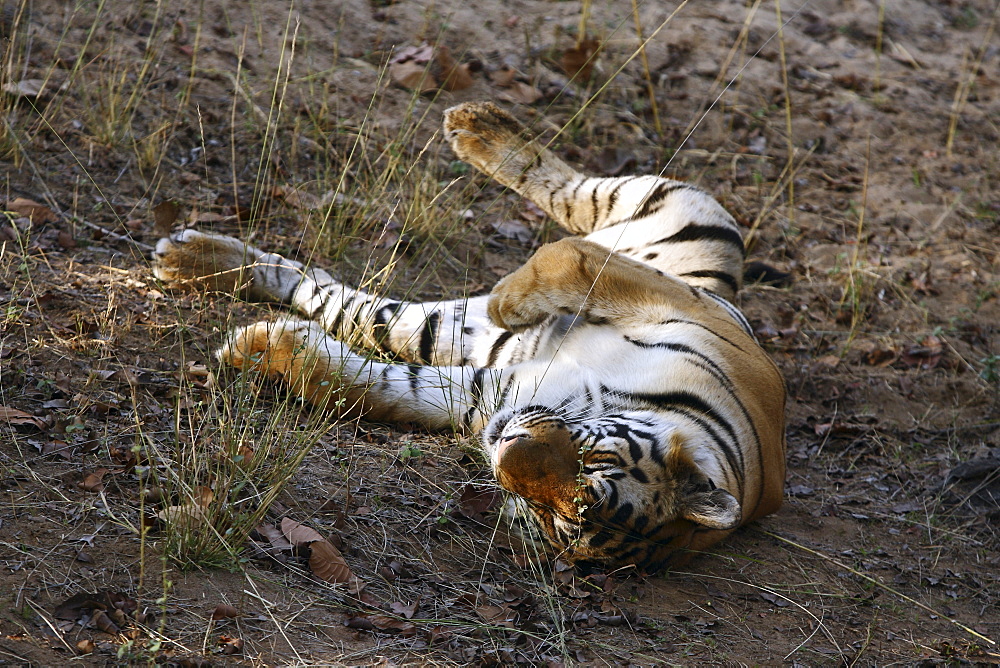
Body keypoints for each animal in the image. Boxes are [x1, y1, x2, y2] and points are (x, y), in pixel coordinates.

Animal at [150, 102, 788, 572]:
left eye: (558, 515)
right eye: (592, 460)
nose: (504, 448)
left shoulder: (489, 390)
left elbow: (378, 384)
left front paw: (272, 351)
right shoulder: (675, 303)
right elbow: (568, 258)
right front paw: (515, 299)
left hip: (432, 329)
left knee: (340, 300)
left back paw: (200, 265)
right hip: (689, 210)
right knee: (570, 192)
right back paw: (475, 126)